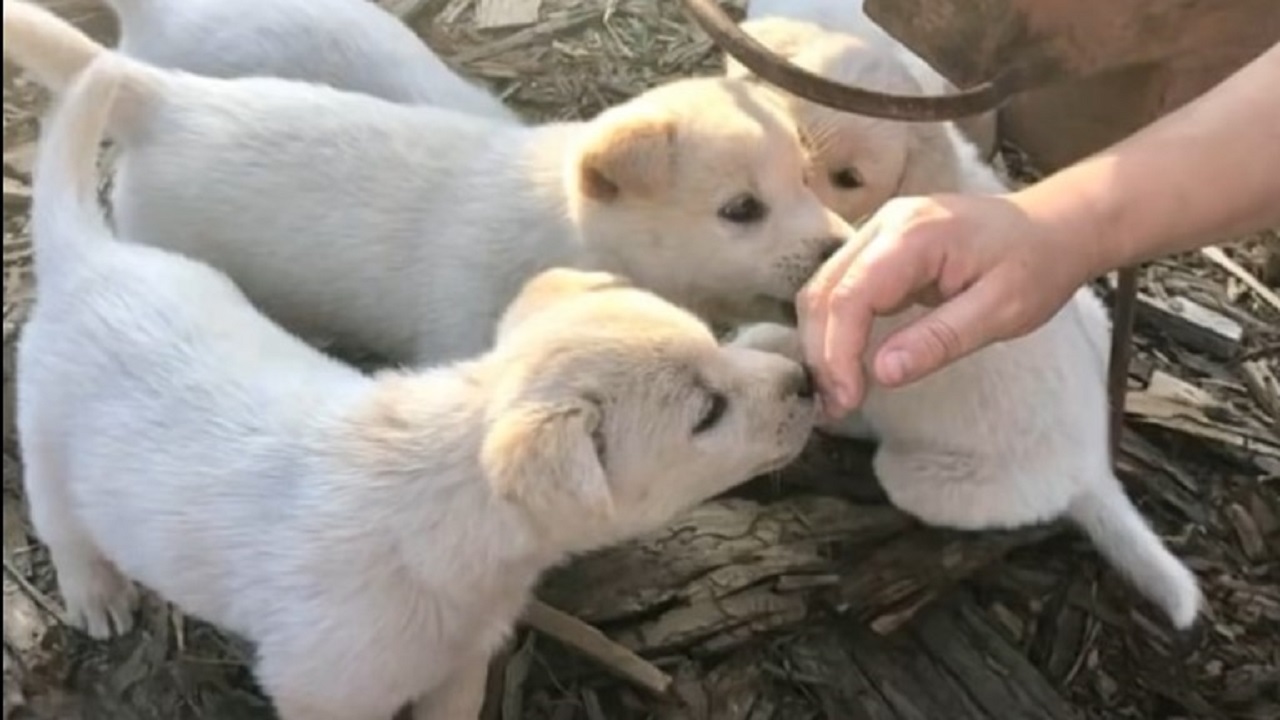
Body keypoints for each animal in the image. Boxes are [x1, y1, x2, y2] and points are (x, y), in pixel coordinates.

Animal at [17, 56, 819, 717]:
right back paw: (97, 597)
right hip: (48, 459)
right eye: (707, 412)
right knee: (64, 530)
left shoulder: (460, 666)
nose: (809, 379)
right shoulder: (322, 689)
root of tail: (87, 256)